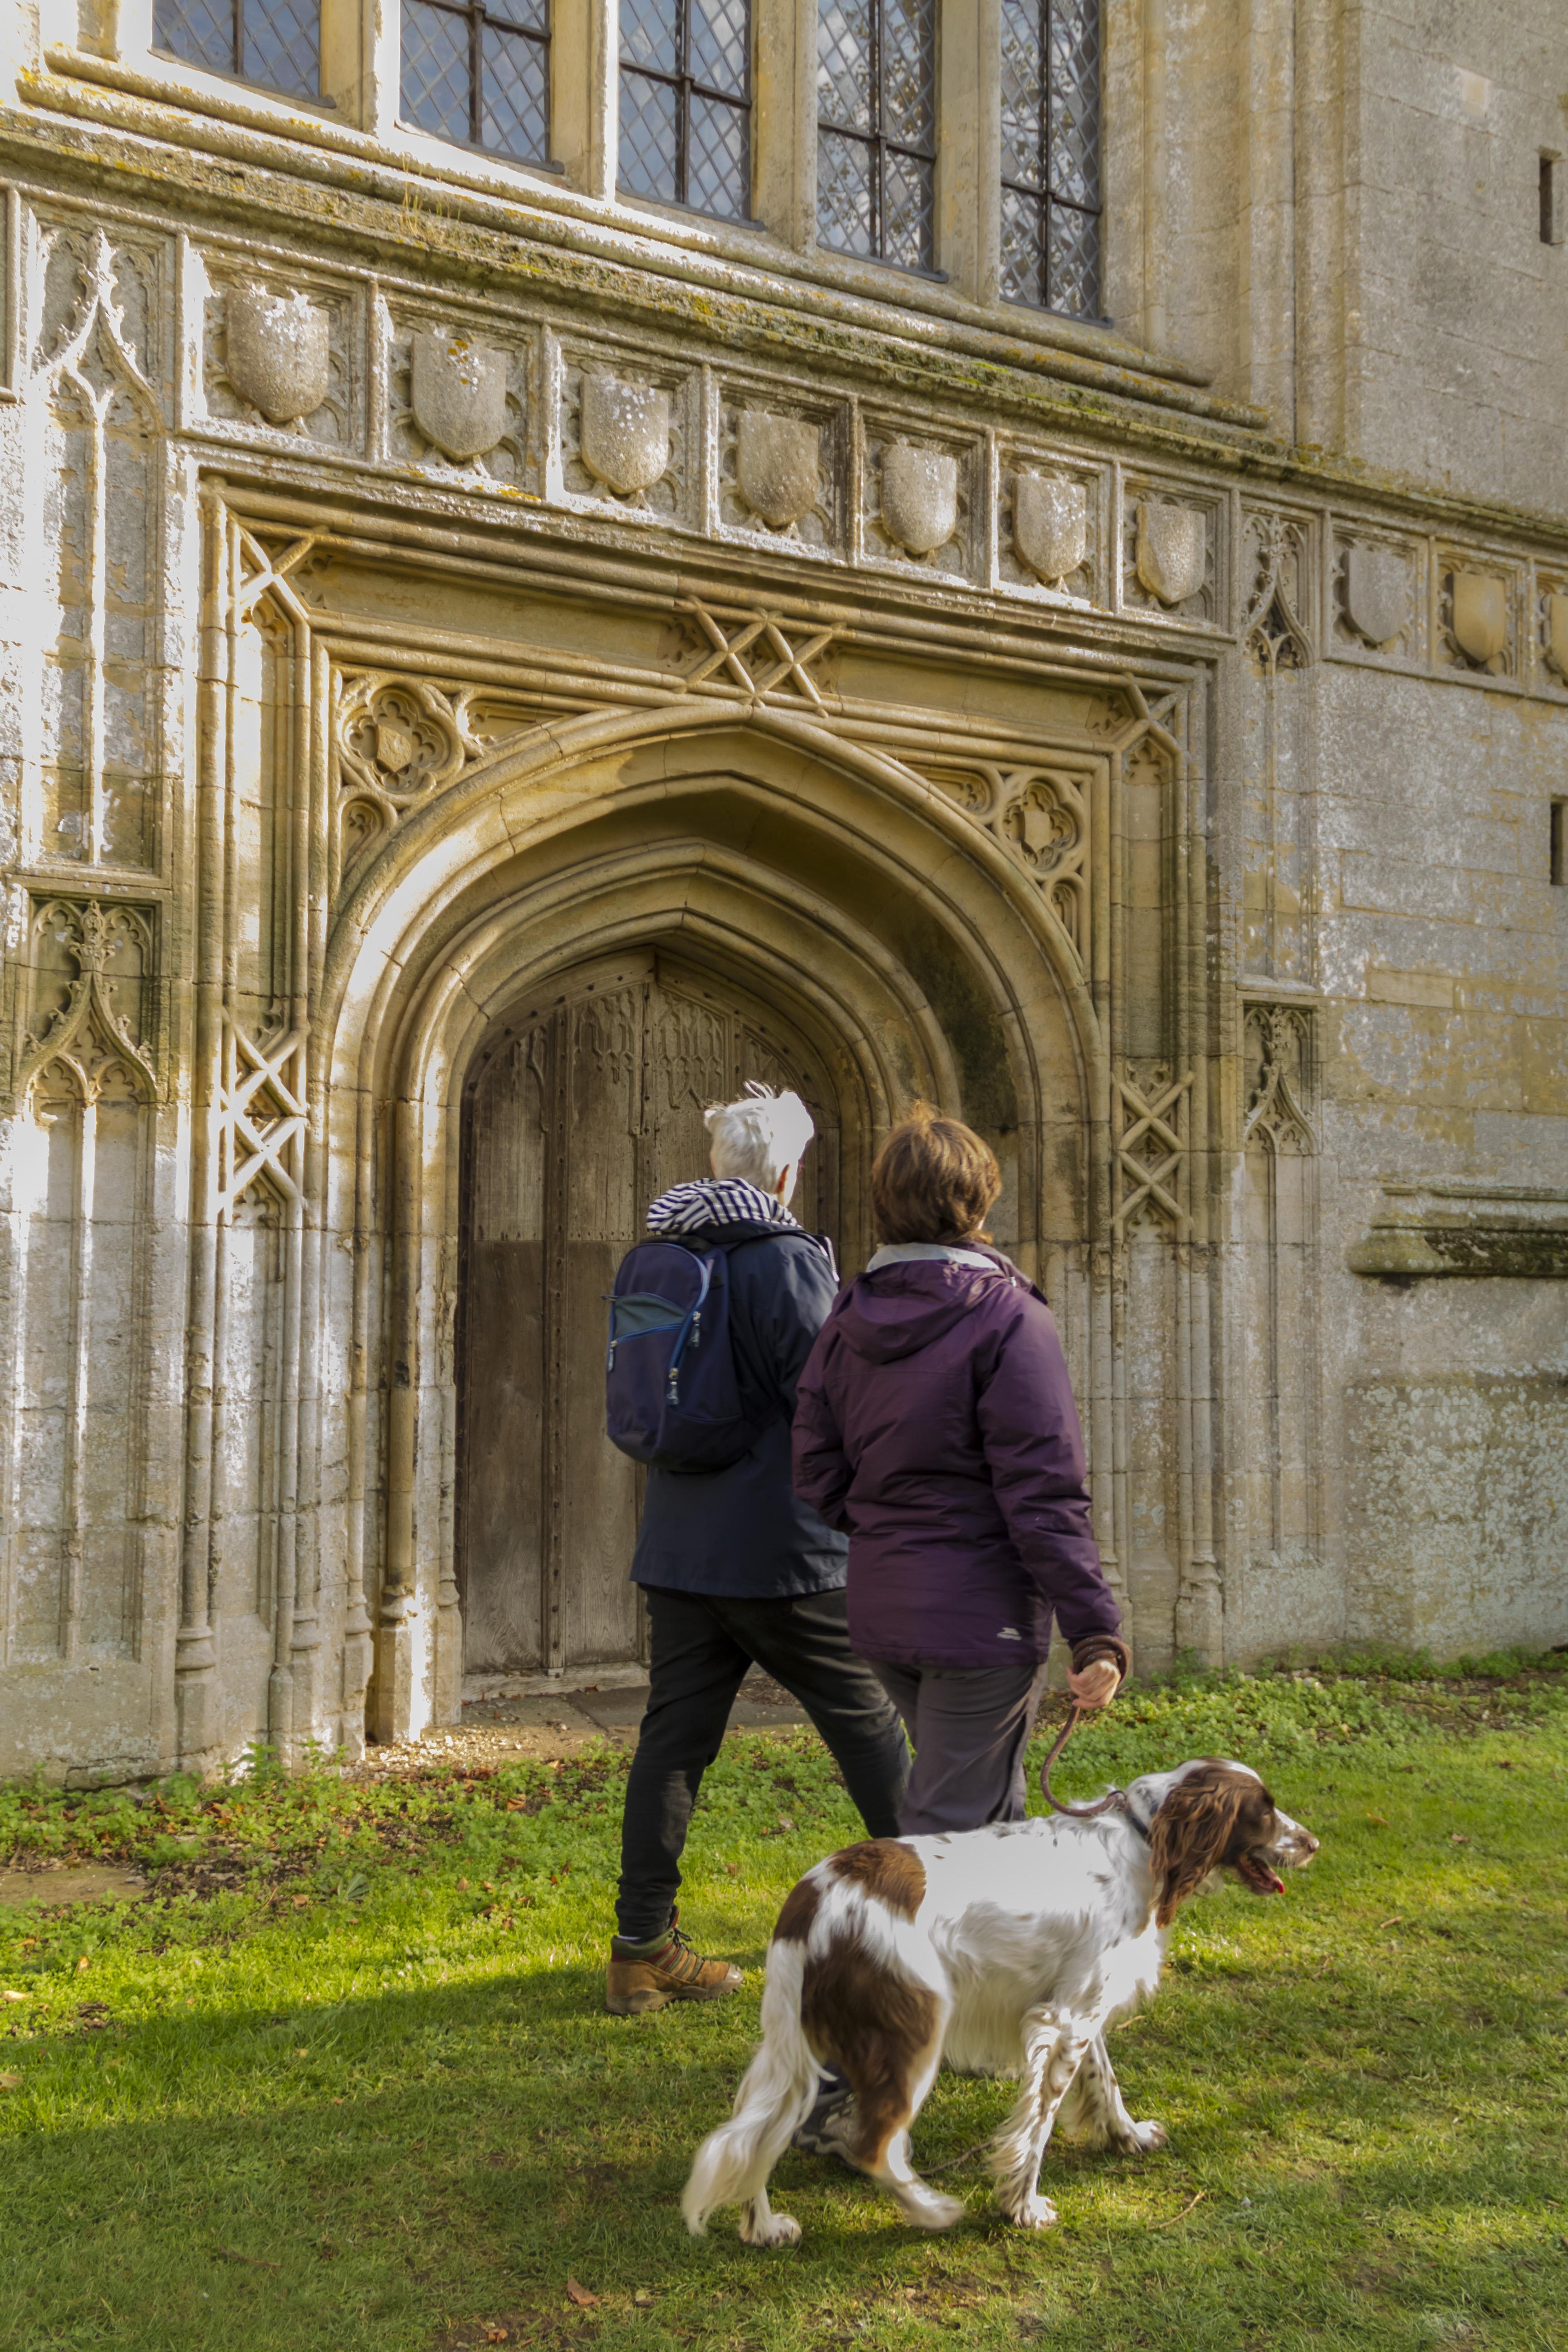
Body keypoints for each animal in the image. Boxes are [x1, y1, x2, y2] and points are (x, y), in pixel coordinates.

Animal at [681, 1769, 1316, 2239]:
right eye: (1263, 1811)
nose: (1313, 1844)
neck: (1142, 1838)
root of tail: (812, 1898)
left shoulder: (1080, 2006)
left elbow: (1104, 2082)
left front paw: (1128, 2136)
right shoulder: (1061, 2022)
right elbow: (1037, 2128)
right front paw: (1022, 2207)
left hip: (797, 2045)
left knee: (758, 2137)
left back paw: (764, 2228)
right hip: (915, 2032)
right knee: (873, 2146)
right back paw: (932, 2209)